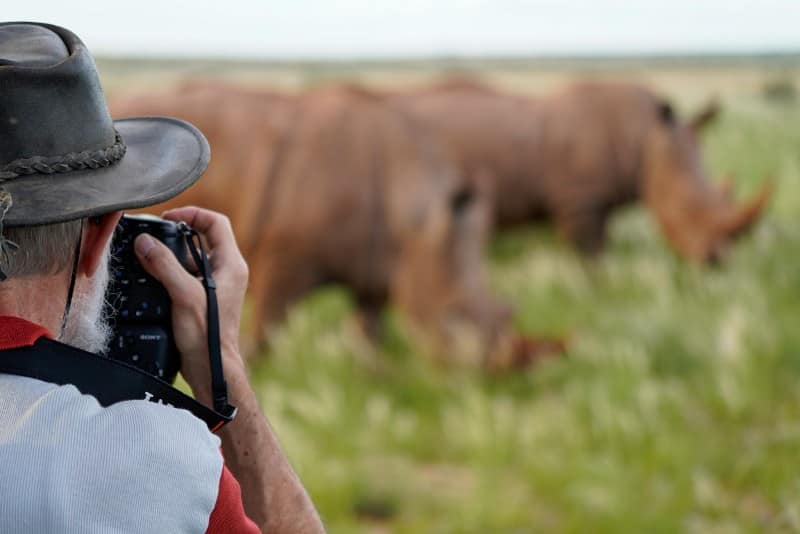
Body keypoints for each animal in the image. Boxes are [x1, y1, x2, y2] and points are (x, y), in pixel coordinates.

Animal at [111, 84, 564, 372]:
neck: (416, 216)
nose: (493, 375)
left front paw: (376, 378)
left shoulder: (376, 262)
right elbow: (265, 333)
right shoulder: (284, 260)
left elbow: (370, 332)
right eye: (455, 317)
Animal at [390, 80, 772, 264]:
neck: (644, 138)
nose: (716, 262)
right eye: (686, 207)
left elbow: (601, 249)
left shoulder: (597, 202)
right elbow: (589, 257)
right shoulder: (579, 202)